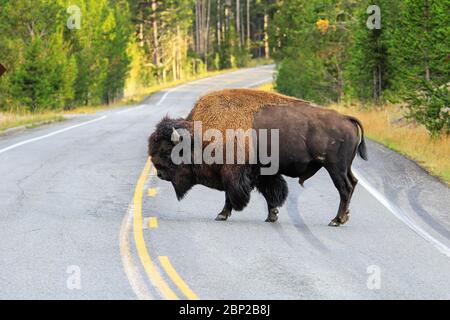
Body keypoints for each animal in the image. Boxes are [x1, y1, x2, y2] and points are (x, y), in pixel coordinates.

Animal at [149, 89, 368, 226]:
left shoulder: (233, 173)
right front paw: (272, 216)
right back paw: (342, 218)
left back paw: (336, 220)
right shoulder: (263, 172)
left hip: (335, 168)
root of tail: (346, 118)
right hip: (344, 168)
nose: (159, 173)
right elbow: (272, 193)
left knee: (344, 188)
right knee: (352, 183)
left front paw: (221, 215)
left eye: (168, 151)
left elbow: (231, 195)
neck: (200, 135)